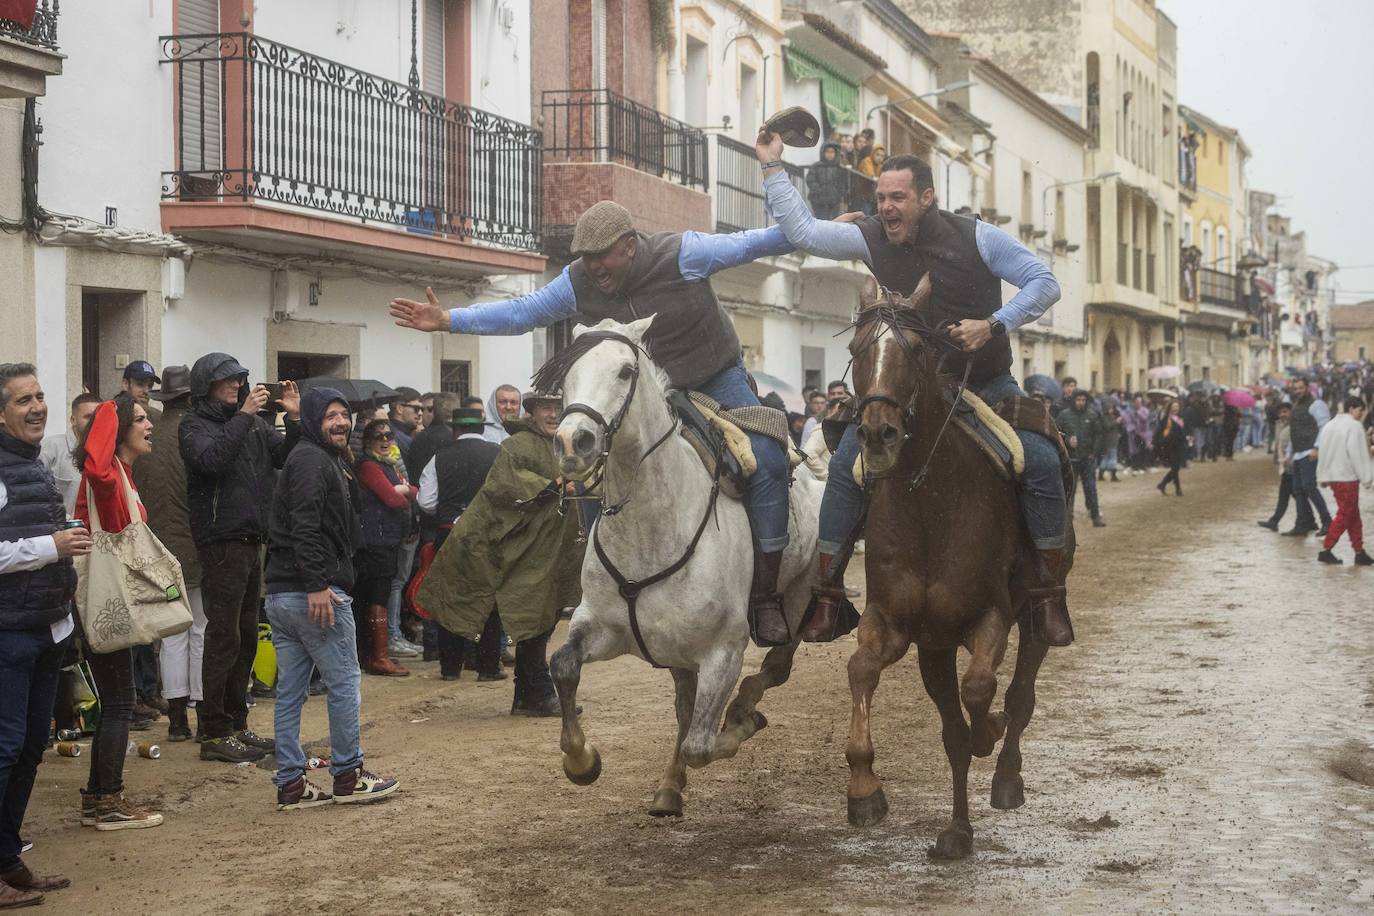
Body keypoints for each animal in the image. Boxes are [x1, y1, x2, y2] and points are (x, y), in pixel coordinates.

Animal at [546, 317, 818, 818]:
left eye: (625, 371)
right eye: (565, 376)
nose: (573, 441)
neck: (651, 526)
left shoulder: (723, 652)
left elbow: (701, 745)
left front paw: (740, 724)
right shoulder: (601, 627)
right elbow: (563, 665)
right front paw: (582, 761)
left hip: (798, 602)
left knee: (775, 667)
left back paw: (745, 709)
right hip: (675, 651)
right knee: (684, 706)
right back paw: (670, 787)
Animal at [835, 277, 1071, 862]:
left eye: (918, 350)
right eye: (856, 349)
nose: (878, 434)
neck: (929, 506)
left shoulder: (990, 618)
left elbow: (982, 691)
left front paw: (989, 729)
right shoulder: (900, 625)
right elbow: (862, 670)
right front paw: (864, 790)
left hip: (1035, 618)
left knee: (1020, 695)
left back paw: (1006, 777)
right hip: (935, 648)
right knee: (953, 735)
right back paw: (958, 831)